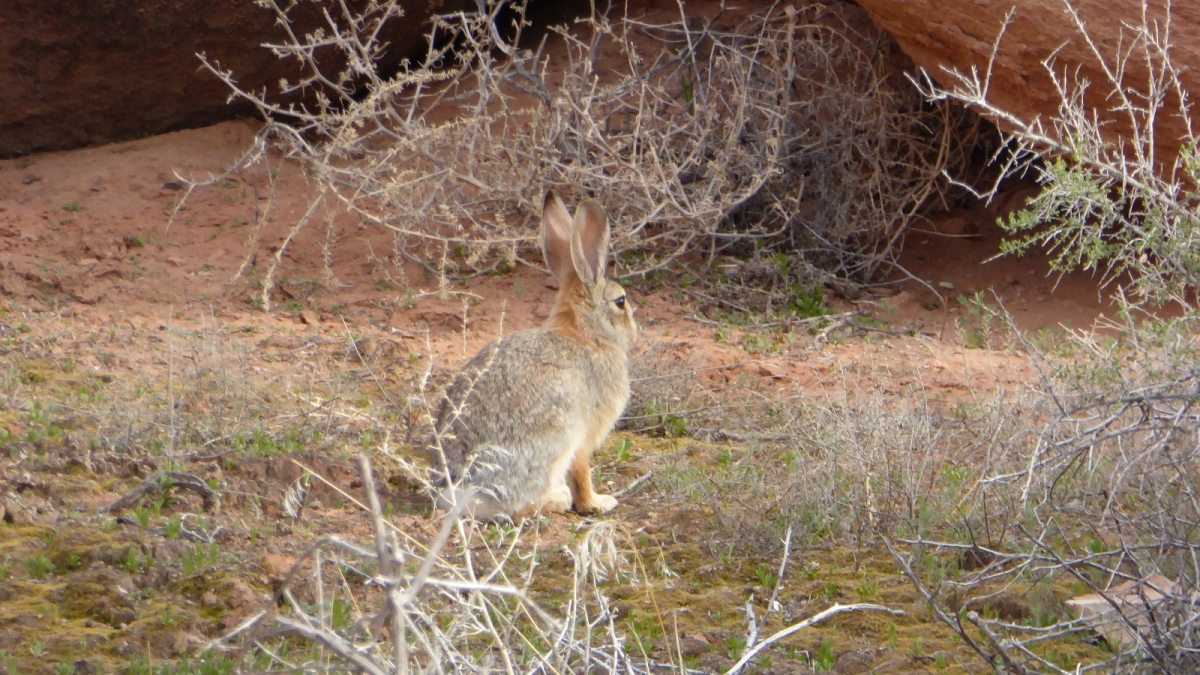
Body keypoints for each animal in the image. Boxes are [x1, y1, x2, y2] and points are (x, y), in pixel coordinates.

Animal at [429, 189, 638, 521]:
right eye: (621, 302)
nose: (635, 332)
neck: (586, 335)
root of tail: (462, 490)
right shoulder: (584, 434)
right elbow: (582, 472)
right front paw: (597, 503)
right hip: (553, 438)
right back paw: (558, 498)